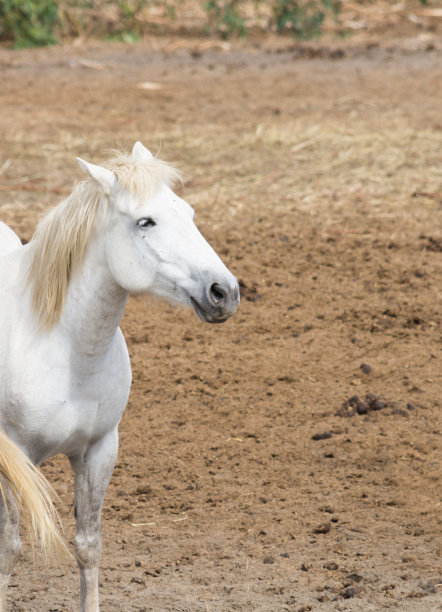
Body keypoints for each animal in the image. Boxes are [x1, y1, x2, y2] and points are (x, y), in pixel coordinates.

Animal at [0, 141, 238, 608]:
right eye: (145, 221)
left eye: (189, 213)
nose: (224, 291)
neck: (60, 346)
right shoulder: (13, 457)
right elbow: (10, 549)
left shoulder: (99, 450)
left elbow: (88, 547)